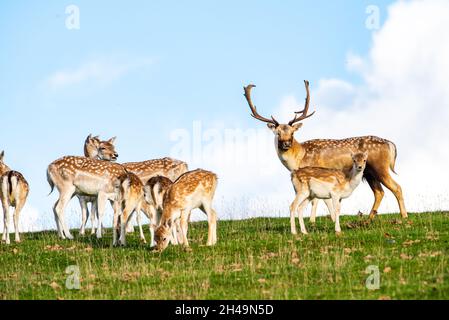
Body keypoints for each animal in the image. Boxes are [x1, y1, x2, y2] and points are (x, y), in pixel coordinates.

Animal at [243, 80, 408, 228]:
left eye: (292, 133)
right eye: (278, 133)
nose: (286, 144)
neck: (299, 157)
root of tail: (391, 144)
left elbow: (317, 199)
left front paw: (313, 221)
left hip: (380, 167)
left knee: (397, 187)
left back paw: (404, 217)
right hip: (368, 172)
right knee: (379, 192)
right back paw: (368, 219)